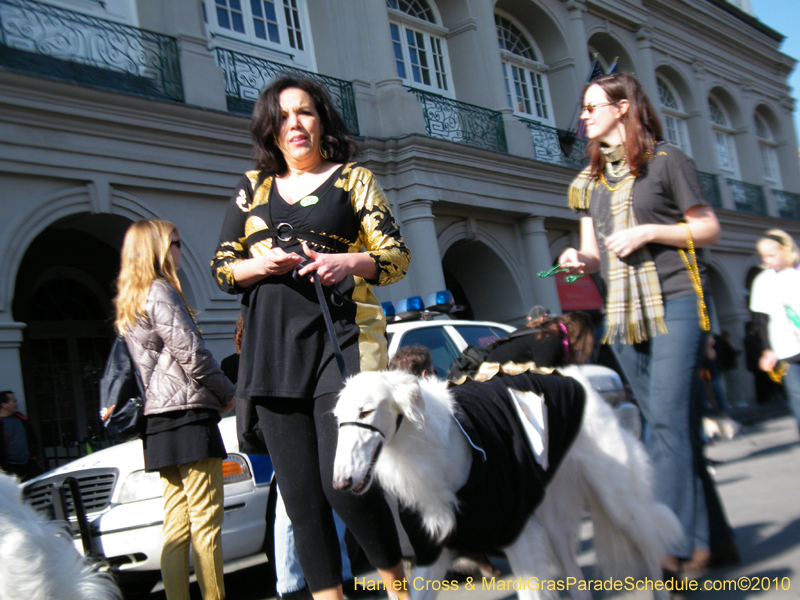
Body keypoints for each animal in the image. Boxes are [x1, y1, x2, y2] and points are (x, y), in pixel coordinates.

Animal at [332, 366, 680, 600]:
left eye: (366, 411)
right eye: (337, 418)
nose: (340, 483)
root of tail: (576, 376)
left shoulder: (518, 532)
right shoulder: (431, 548)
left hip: (619, 502)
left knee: (650, 552)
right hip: (555, 521)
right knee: (578, 580)